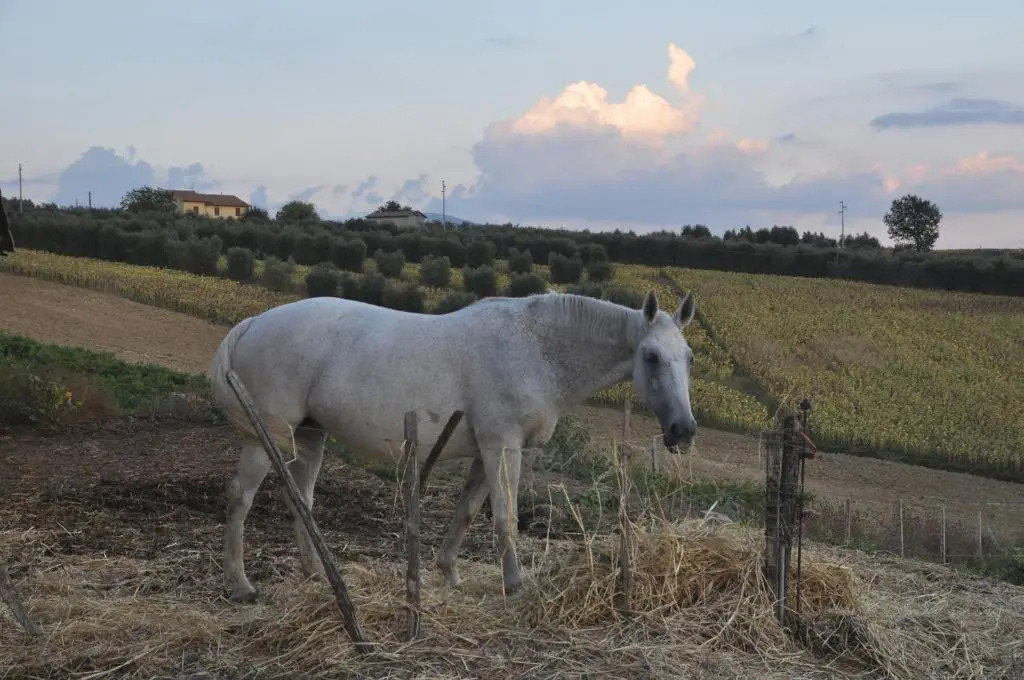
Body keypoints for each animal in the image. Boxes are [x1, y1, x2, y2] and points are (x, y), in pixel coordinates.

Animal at [209, 288, 698, 602]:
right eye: (651, 356)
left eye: (689, 358)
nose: (684, 431)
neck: (536, 350)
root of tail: (255, 322)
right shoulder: (503, 447)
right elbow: (505, 518)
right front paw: (515, 585)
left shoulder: (488, 451)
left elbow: (466, 512)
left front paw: (450, 574)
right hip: (264, 438)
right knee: (240, 498)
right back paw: (241, 585)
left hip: (310, 435)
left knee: (301, 499)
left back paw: (315, 573)